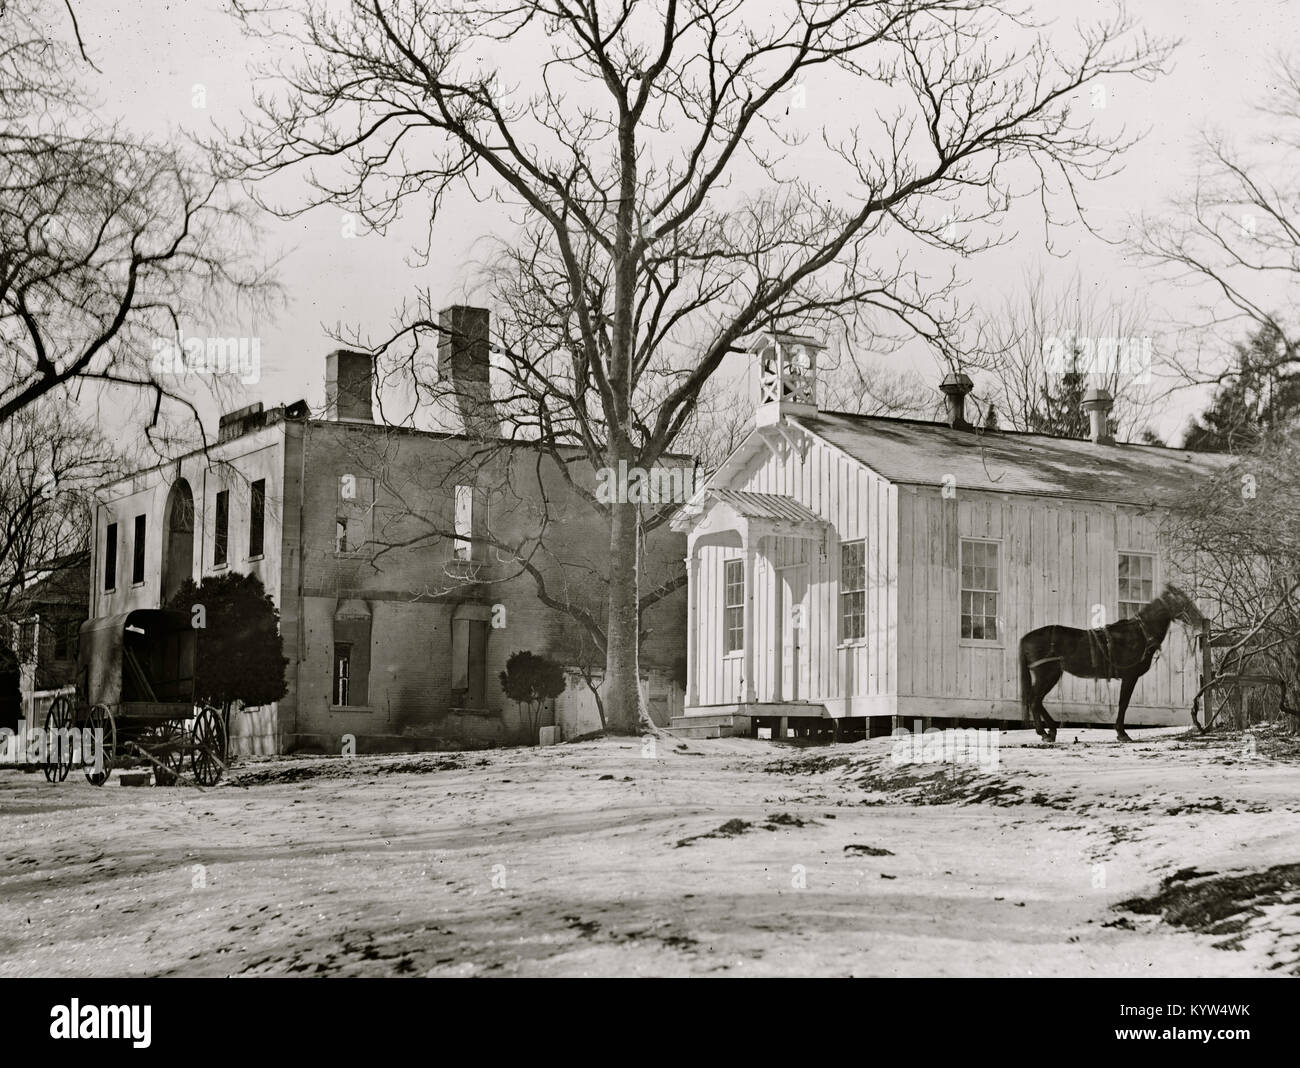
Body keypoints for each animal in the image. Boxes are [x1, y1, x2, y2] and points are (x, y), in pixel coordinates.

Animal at [1013, 584, 1206, 743]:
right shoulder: (1130, 676)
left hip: (1050, 674)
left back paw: (1050, 731)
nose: (1200, 620)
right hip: (1047, 674)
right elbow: (1123, 703)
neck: (1140, 634)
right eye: (1181, 600)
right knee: (1034, 700)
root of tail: (1026, 638)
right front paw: (1122, 733)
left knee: (1036, 700)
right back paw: (1044, 732)